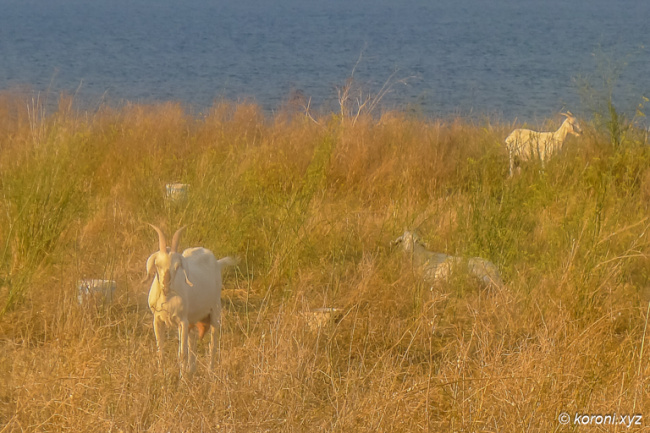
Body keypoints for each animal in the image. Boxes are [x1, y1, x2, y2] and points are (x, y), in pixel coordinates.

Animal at [144, 224, 237, 374]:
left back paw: (210, 372)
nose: (166, 286)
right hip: (193, 320)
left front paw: (182, 379)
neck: (167, 299)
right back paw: (192, 371)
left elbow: (182, 354)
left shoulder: (182, 321)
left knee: (213, 343)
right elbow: (160, 350)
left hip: (215, 311)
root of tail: (217, 262)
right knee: (193, 343)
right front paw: (161, 375)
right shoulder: (157, 319)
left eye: (177, 266)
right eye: (157, 264)